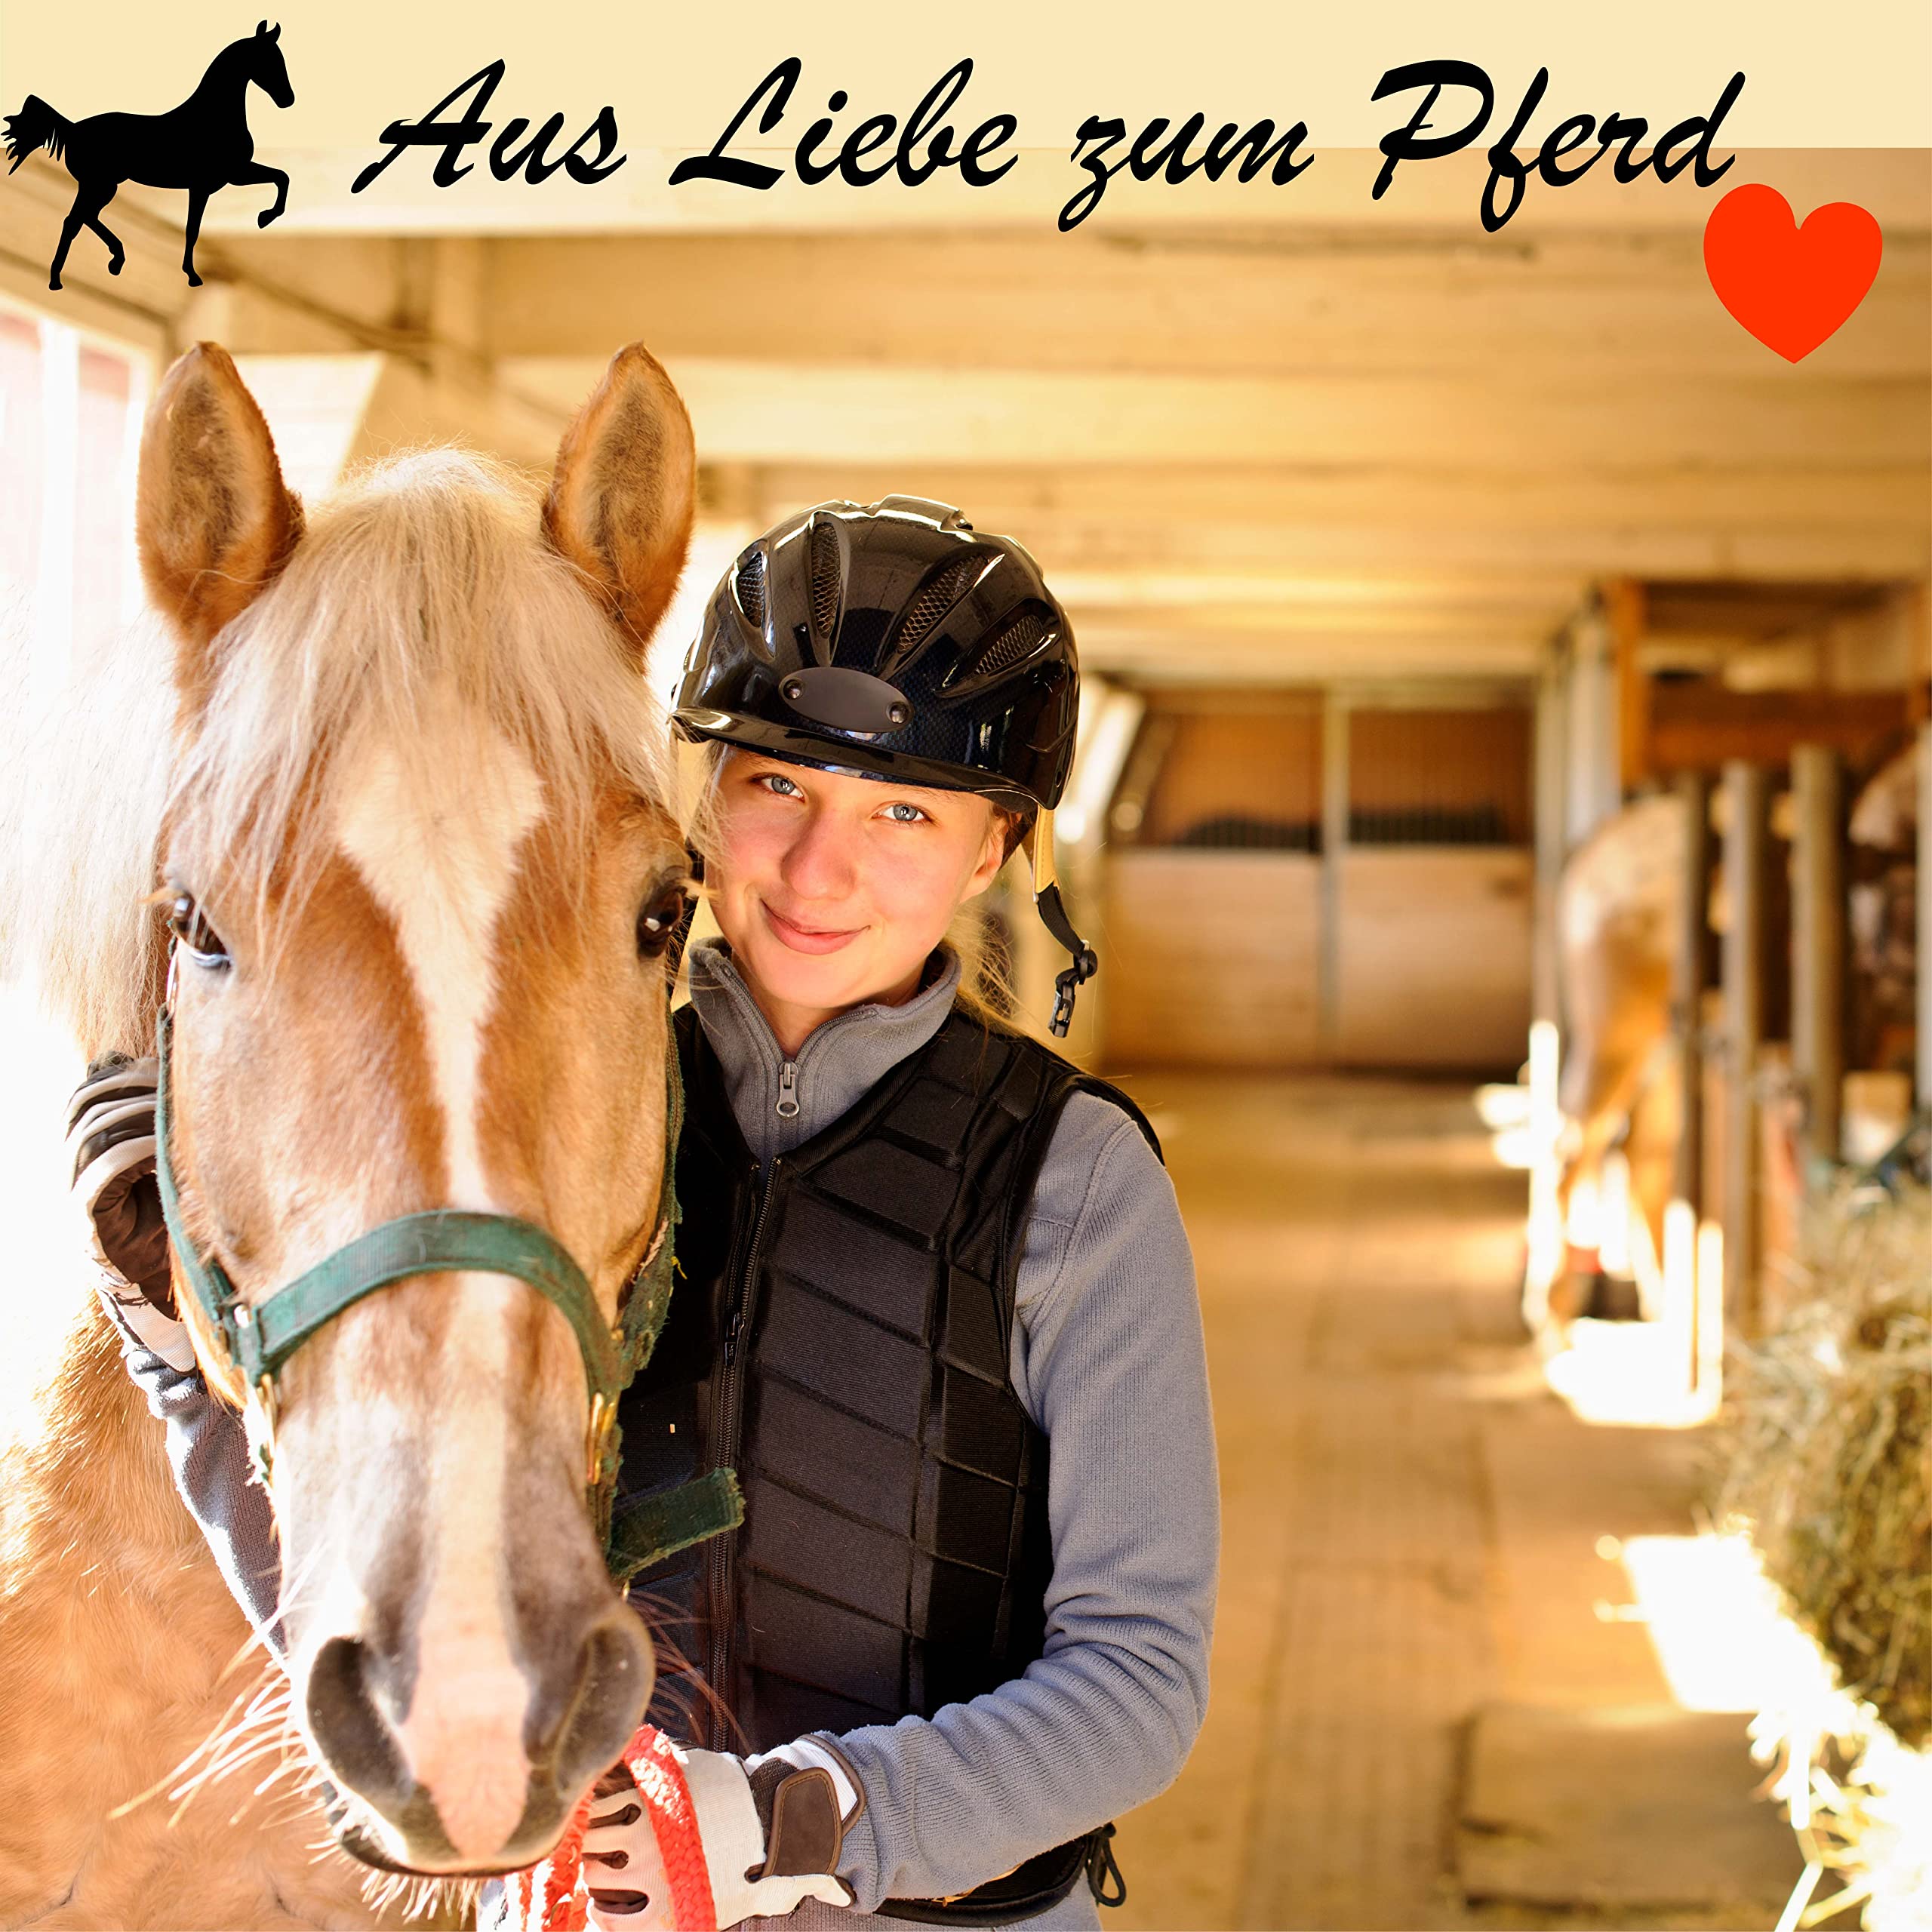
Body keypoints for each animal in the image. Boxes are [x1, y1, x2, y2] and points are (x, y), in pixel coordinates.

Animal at [3, 21, 294, 291]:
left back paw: (110, 262)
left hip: (101, 186)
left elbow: (282, 177)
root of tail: (73, 129)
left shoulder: (233, 175)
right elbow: (192, 231)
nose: (288, 100)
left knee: (84, 219)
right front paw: (193, 275)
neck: (212, 118)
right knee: (75, 221)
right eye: (269, 60)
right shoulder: (205, 185)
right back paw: (67, 276)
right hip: (98, 185)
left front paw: (264, 217)